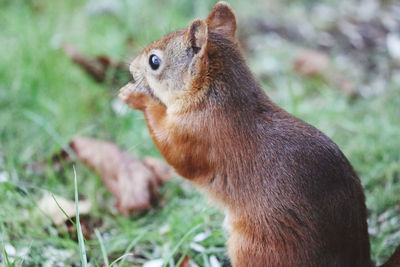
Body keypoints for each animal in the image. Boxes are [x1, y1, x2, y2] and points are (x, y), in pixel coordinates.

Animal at [119, 2, 400, 267]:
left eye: (154, 61)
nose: (131, 67)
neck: (215, 98)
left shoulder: (196, 135)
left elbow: (175, 154)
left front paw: (136, 97)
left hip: (255, 247)